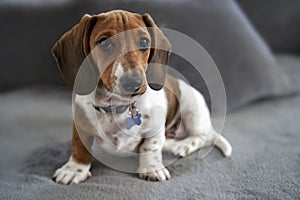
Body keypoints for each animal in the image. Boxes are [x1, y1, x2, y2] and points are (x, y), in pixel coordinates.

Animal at [51, 9, 232, 184]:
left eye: (144, 42)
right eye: (104, 42)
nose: (134, 83)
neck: (116, 106)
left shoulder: (155, 128)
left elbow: (150, 147)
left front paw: (152, 168)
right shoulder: (80, 124)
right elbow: (79, 147)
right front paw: (74, 169)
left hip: (192, 110)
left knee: (201, 137)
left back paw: (182, 146)